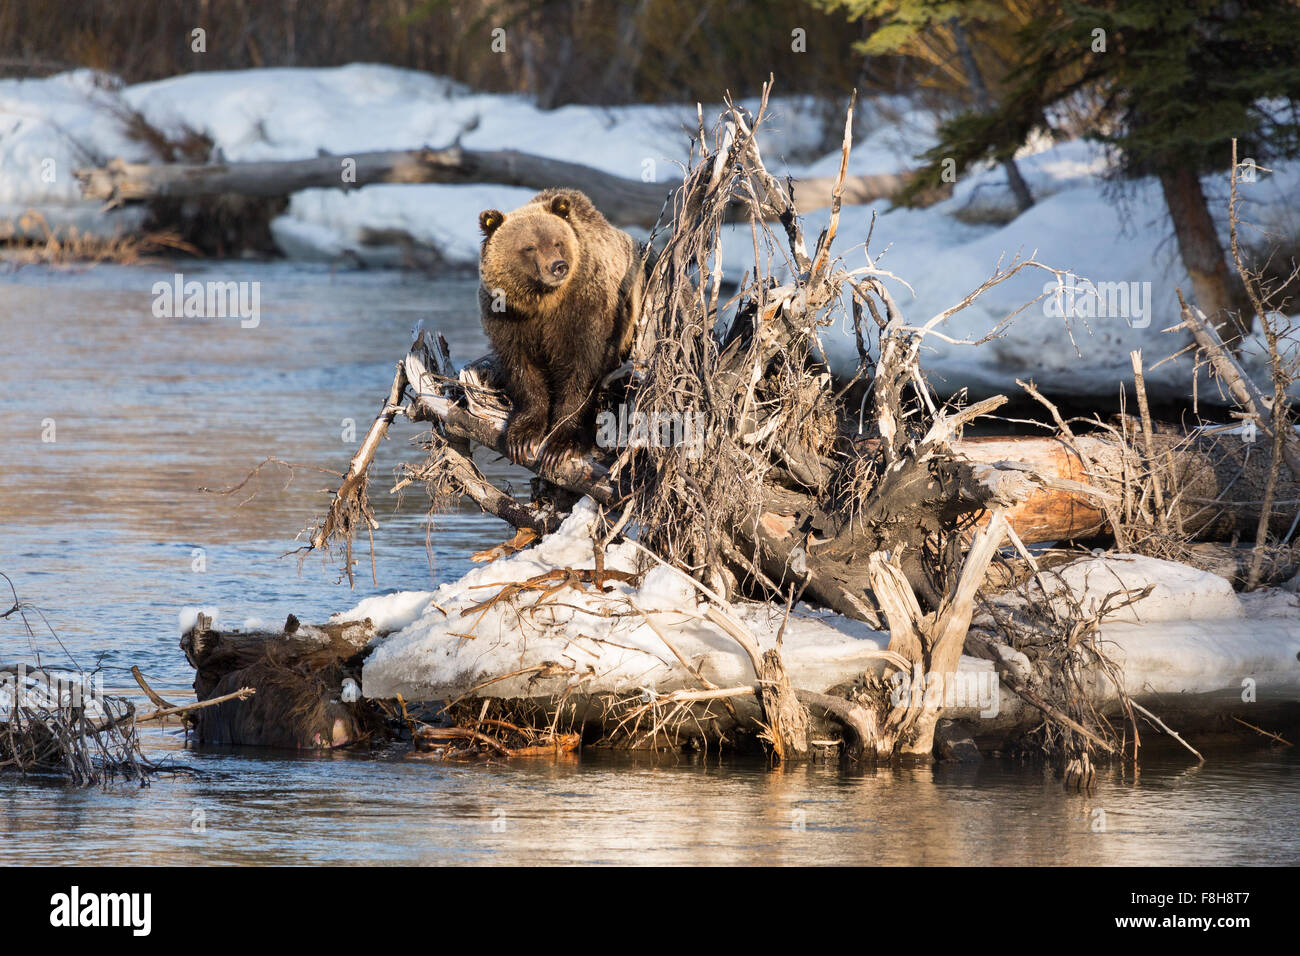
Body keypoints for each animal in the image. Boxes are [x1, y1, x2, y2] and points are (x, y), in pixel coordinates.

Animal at [478, 187, 644, 470]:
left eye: (557, 242)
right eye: (529, 247)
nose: (558, 266)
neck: (543, 302)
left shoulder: (586, 312)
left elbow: (581, 369)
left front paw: (561, 443)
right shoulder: (508, 318)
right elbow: (522, 367)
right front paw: (522, 437)